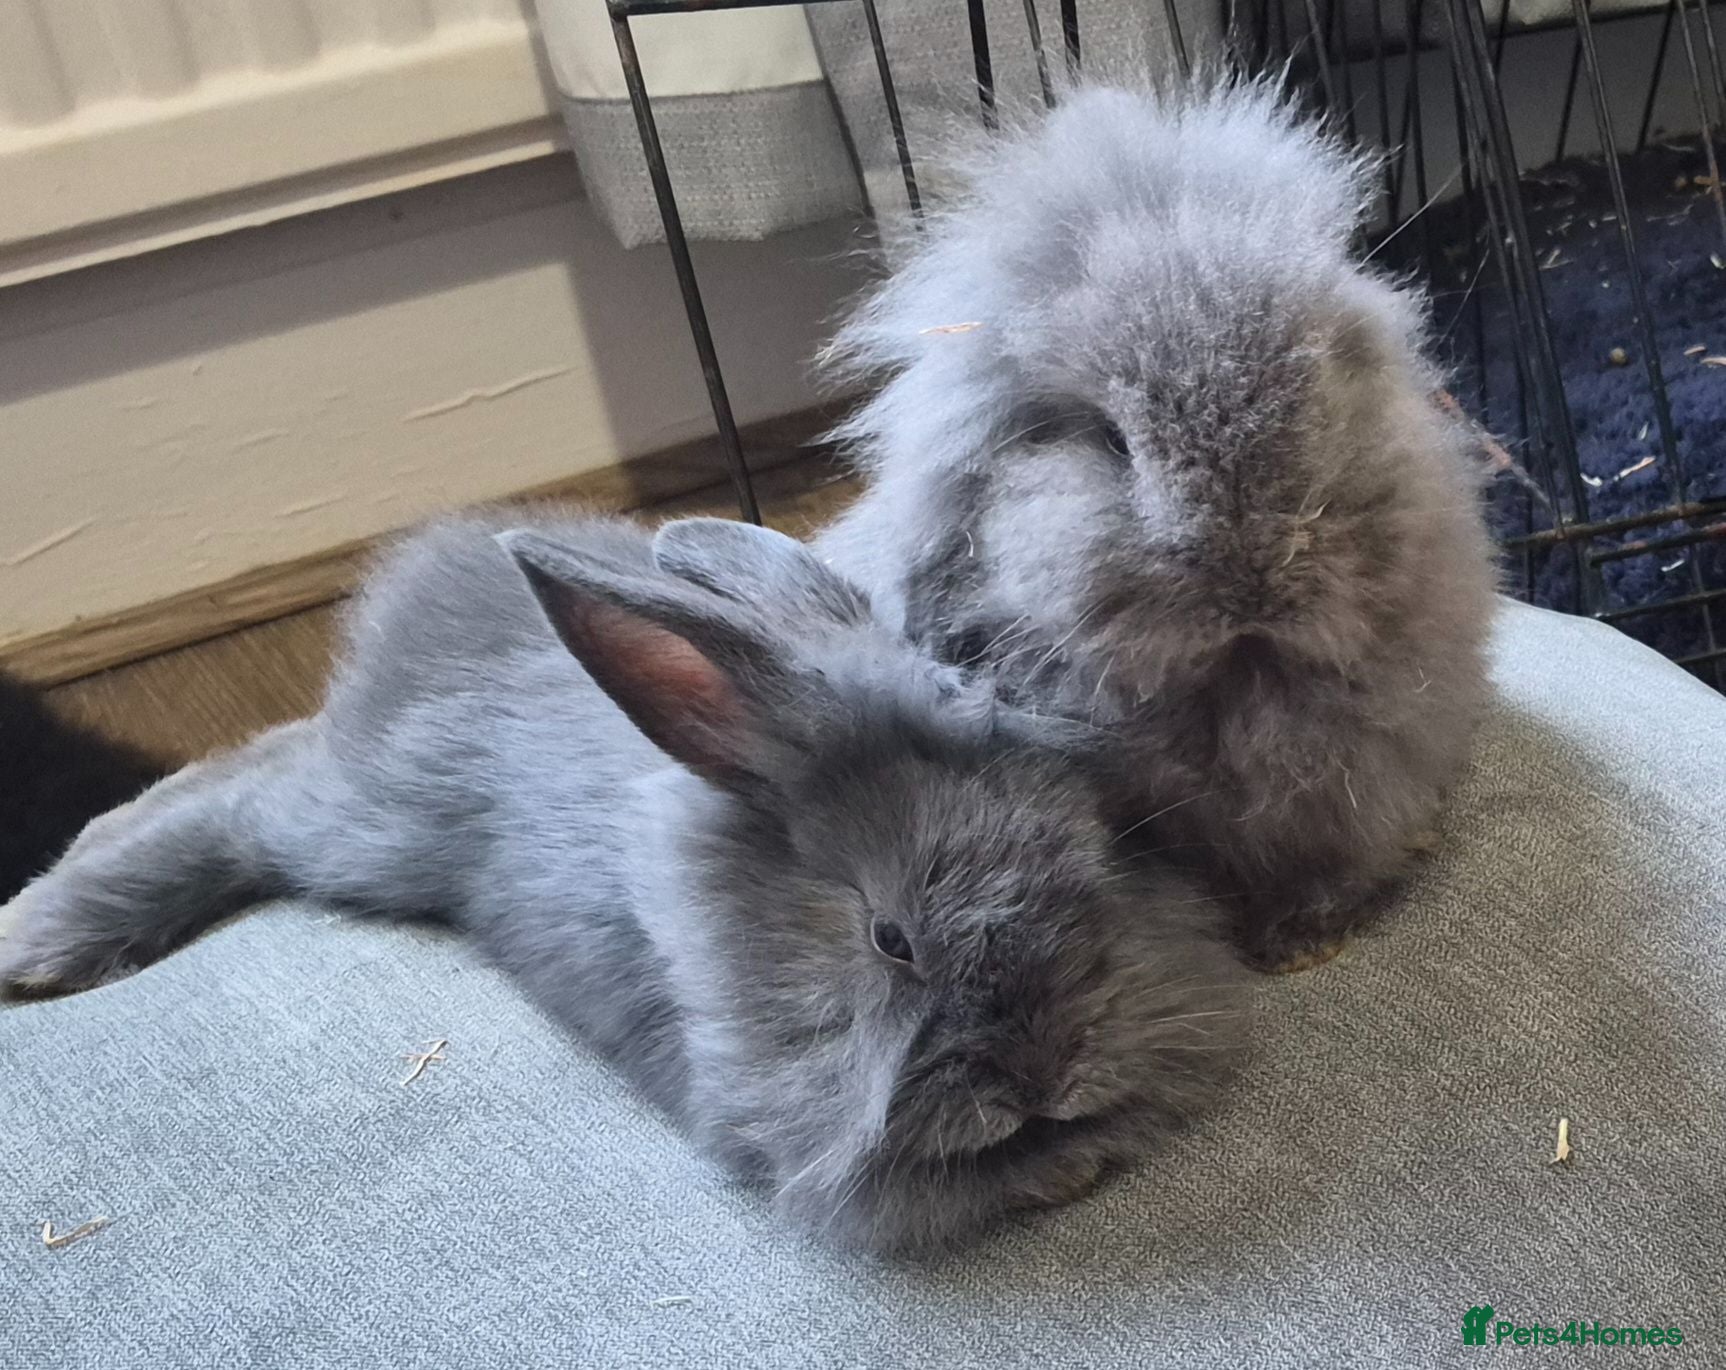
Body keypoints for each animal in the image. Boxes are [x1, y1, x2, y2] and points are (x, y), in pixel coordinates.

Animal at [0, 512, 1245, 1252]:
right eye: (889, 938)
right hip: (368, 829)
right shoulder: (756, 1101)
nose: (1044, 1072)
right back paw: (39, 935)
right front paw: (1054, 1164)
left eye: (1099, 853)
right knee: (240, 788)